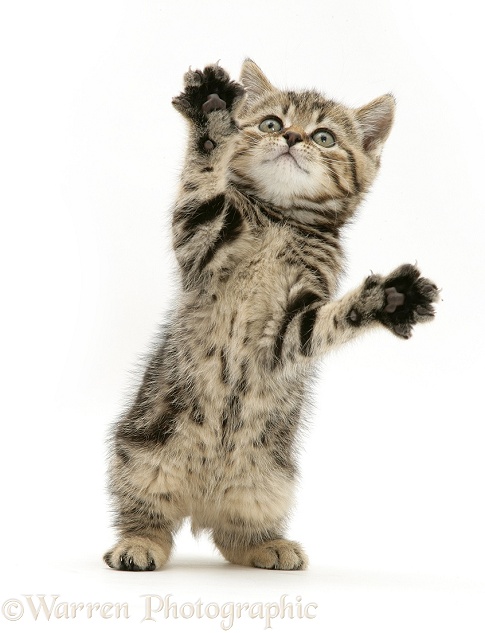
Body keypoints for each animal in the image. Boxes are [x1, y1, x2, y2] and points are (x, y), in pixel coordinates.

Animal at [104, 60, 436, 572]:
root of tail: (201, 503)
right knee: (148, 515)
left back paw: (267, 545)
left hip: (266, 483)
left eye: (324, 137)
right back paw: (137, 545)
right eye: (270, 124)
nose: (293, 138)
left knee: (233, 536)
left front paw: (389, 299)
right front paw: (210, 115)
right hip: (142, 455)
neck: (281, 219)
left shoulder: (289, 330)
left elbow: (327, 322)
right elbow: (201, 187)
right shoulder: (199, 242)